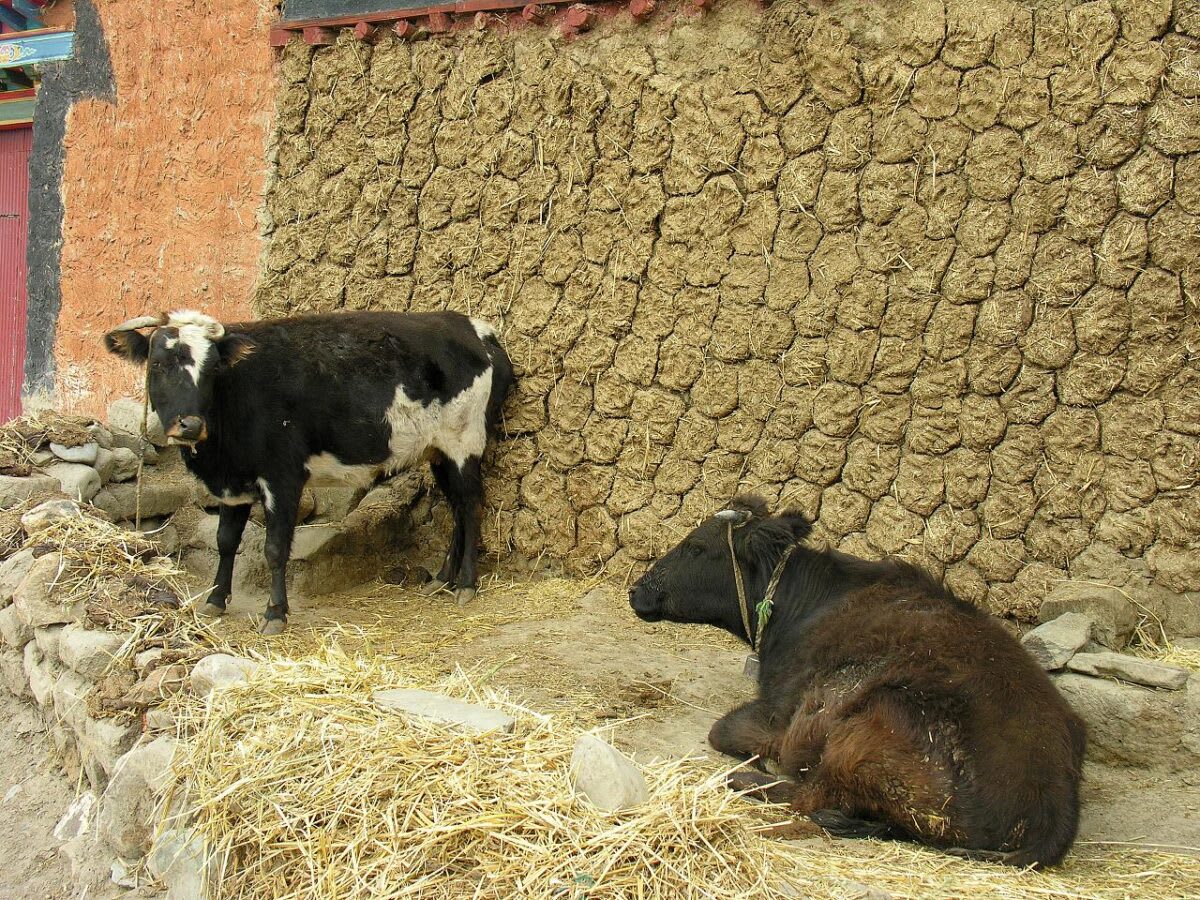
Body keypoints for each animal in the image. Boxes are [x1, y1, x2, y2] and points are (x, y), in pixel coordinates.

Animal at [105, 309, 513, 635]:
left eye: (211, 370)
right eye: (157, 366)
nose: (189, 425)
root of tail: (471, 326)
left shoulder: (282, 476)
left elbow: (274, 548)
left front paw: (275, 613)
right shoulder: (234, 482)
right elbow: (225, 541)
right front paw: (216, 600)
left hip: (464, 442)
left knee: (471, 507)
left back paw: (466, 583)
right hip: (439, 452)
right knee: (457, 509)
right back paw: (443, 579)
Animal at [629, 495, 1086, 868]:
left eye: (696, 546)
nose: (637, 590)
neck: (802, 605)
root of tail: (1052, 816)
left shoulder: (779, 711)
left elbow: (723, 730)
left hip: (863, 732)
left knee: (809, 795)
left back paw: (746, 779)